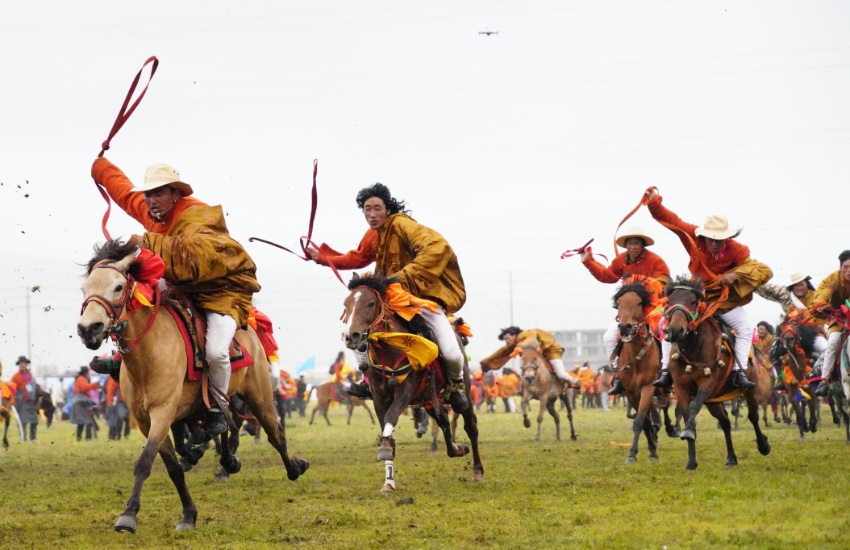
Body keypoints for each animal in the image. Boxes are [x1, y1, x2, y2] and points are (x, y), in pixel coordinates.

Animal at [76, 243, 308, 536]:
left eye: (118, 287)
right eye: (84, 289)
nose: (88, 329)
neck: (148, 357)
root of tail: (250, 327)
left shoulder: (162, 412)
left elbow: (144, 462)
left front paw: (127, 516)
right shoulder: (145, 420)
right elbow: (173, 467)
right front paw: (188, 514)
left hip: (259, 395)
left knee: (273, 433)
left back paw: (294, 467)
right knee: (224, 424)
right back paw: (228, 461)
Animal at [340, 274, 484, 494]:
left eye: (371, 303)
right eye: (346, 304)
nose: (351, 336)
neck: (391, 348)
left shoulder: (406, 391)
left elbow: (391, 417)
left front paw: (383, 450)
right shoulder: (379, 397)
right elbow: (388, 430)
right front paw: (388, 483)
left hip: (464, 393)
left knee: (471, 425)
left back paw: (477, 470)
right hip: (429, 399)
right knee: (443, 420)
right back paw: (457, 448)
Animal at [608, 280, 676, 466]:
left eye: (639, 303)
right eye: (618, 304)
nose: (625, 327)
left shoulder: (647, 388)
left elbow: (639, 420)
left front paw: (637, 453)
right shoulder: (630, 392)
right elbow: (643, 421)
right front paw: (647, 449)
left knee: (665, 406)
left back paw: (670, 428)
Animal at [664, 278, 768, 472]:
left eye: (693, 302)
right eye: (668, 301)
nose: (675, 331)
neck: (693, 348)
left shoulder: (707, 384)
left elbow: (694, 407)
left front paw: (687, 432)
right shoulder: (682, 388)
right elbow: (688, 415)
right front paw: (691, 461)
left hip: (750, 389)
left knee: (753, 416)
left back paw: (763, 445)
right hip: (713, 401)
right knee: (725, 422)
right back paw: (731, 458)